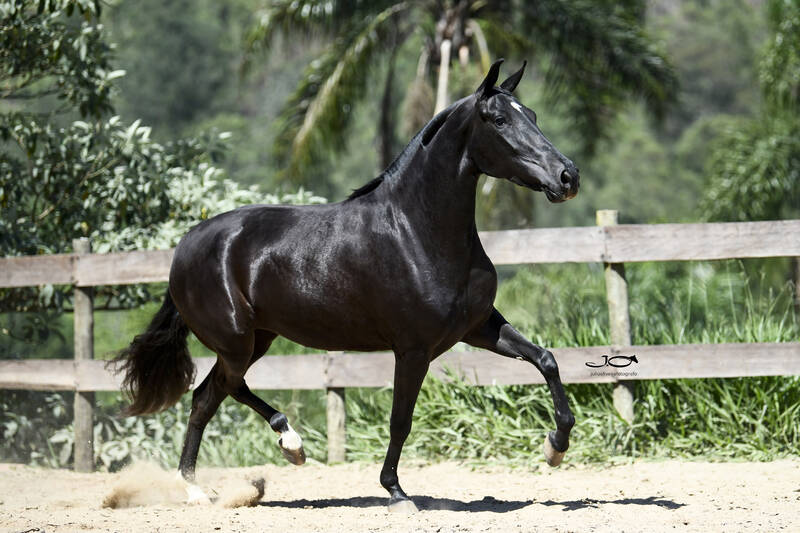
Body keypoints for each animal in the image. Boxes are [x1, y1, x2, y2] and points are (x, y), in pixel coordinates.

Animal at [114, 59, 579, 512]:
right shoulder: (414, 349)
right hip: (235, 342)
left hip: (258, 339)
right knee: (221, 390)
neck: (417, 231)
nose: (567, 176)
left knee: (208, 396)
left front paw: (554, 448)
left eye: (532, 115)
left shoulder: (478, 327)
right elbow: (400, 420)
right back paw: (269, 455)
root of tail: (186, 246)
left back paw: (220, 479)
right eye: (499, 120)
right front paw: (396, 493)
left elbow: (546, 359)